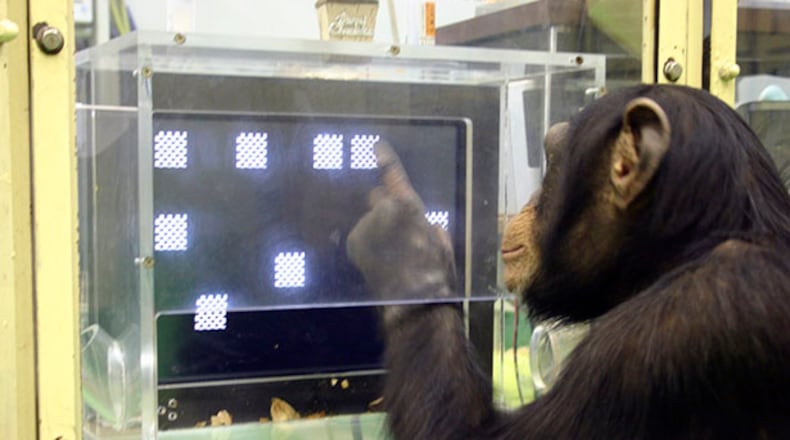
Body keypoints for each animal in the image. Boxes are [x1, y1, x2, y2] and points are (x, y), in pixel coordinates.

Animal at [346, 84, 790, 439]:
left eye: (551, 160)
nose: (525, 203)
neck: (685, 247)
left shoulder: (658, 335)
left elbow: (470, 434)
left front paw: (401, 241)